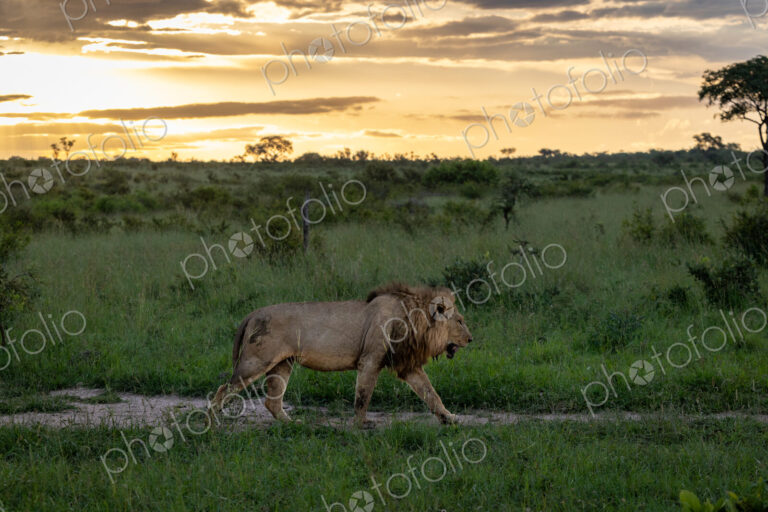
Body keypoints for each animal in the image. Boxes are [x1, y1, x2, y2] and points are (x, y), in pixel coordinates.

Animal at [208, 282, 473, 426]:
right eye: (460, 321)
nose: (471, 339)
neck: (414, 318)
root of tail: (254, 312)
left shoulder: (408, 366)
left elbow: (431, 394)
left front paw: (449, 419)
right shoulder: (370, 359)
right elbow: (363, 396)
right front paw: (361, 425)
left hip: (282, 364)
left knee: (272, 401)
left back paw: (293, 425)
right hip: (256, 361)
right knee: (222, 389)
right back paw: (212, 423)